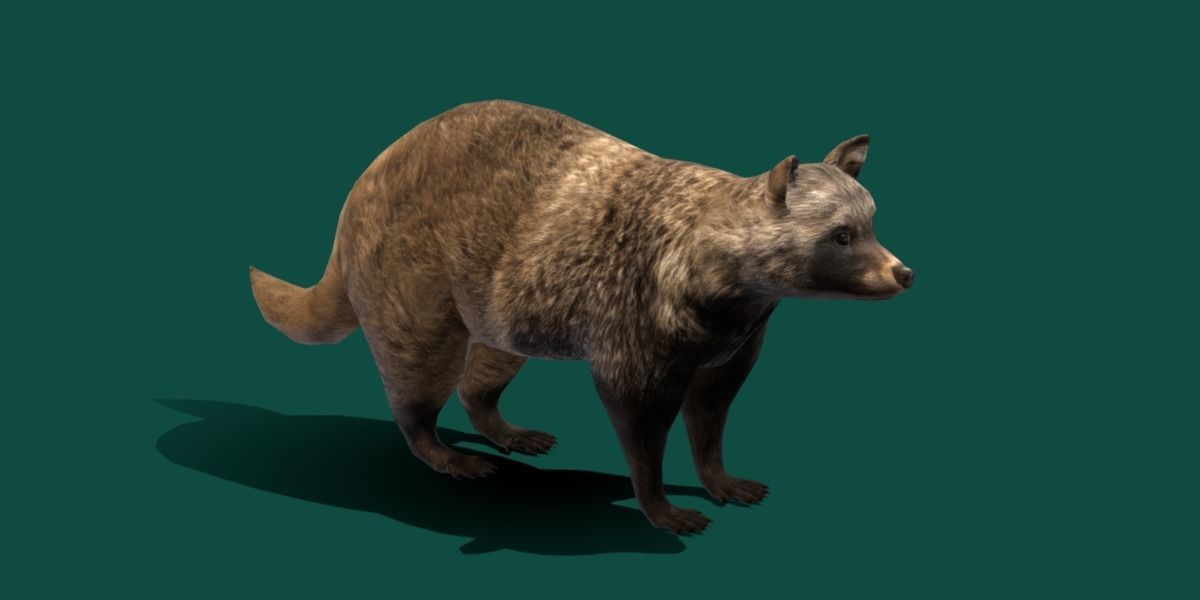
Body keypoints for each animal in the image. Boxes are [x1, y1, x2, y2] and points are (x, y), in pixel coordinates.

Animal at [250, 100, 913, 534]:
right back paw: (437, 446)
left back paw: (495, 420)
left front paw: (716, 472)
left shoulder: (741, 332)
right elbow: (635, 409)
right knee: (421, 367)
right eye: (842, 235)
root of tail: (362, 186)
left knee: (490, 363)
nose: (903, 272)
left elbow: (713, 406)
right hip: (412, 272)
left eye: (871, 225)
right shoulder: (639, 306)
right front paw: (656, 500)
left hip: (501, 291)